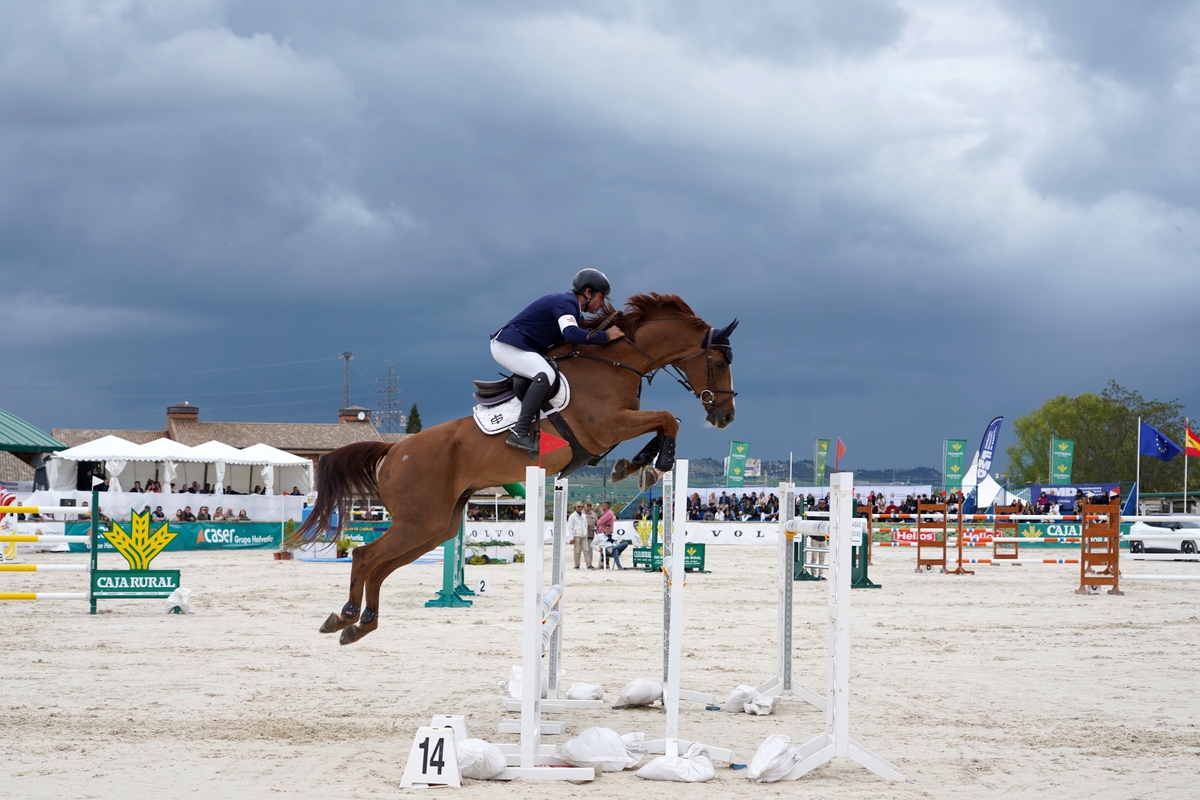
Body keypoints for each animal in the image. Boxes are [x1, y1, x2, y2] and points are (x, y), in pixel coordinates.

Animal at [295, 293, 734, 642]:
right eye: (718, 359)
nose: (726, 415)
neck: (614, 363)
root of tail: (394, 450)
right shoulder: (608, 425)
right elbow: (669, 418)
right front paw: (652, 464)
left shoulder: (616, 428)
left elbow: (663, 423)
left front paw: (637, 464)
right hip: (419, 521)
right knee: (365, 556)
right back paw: (348, 618)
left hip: (434, 526)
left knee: (380, 565)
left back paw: (358, 622)